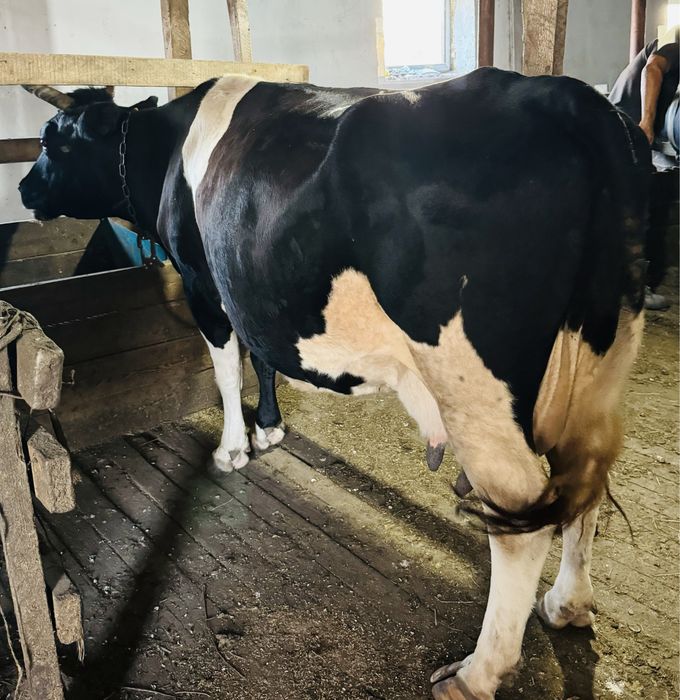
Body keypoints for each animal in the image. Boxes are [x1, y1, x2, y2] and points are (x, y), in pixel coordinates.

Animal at [19, 68, 649, 699]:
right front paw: (269, 430)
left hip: (472, 385)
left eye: (52, 140)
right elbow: (262, 356)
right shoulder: (253, 289)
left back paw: (473, 674)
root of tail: (564, 96)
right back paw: (568, 603)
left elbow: (227, 365)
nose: (24, 187)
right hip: (602, 362)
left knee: (520, 518)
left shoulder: (205, 283)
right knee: (586, 478)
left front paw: (232, 449)